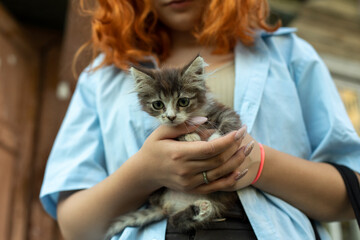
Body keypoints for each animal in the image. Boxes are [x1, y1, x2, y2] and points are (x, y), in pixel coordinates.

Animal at [105, 55, 243, 239]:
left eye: (183, 101)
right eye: (158, 104)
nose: (170, 117)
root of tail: (168, 204)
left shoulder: (224, 111)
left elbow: (230, 121)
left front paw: (216, 137)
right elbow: (175, 132)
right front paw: (189, 135)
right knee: (175, 221)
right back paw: (199, 209)